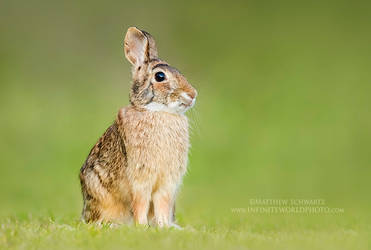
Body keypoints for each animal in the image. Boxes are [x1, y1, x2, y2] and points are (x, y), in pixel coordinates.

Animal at [79, 27, 198, 229]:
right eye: (160, 76)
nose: (192, 94)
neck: (158, 111)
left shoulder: (167, 183)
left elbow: (161, 203)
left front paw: (164, 226)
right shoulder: (141, 177)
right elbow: (140, 201)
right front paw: (141, 227)